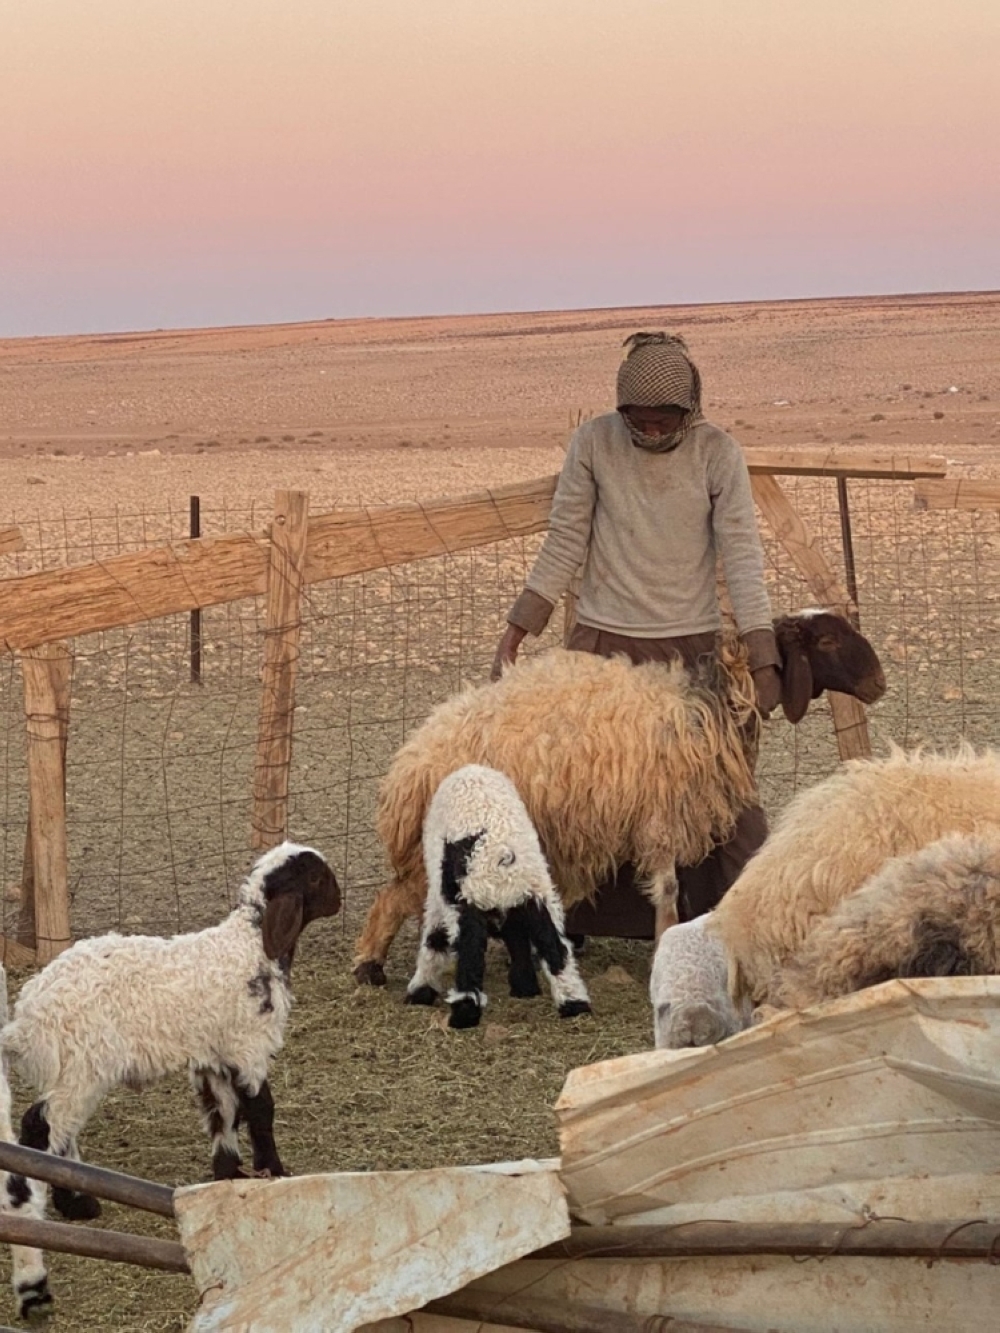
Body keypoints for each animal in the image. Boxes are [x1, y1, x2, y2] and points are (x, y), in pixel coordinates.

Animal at [1, 841, 339, 1247]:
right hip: (83, 1065)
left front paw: (228, 1175)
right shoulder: (249, 1048)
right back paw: (66, 1204)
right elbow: (261, 1110)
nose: (339, 900)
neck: (251, 948)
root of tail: (26, 1017)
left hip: (73, 1071)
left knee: (61, 1130)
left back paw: (81, 1201)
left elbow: (223, 1114)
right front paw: (274, 1171)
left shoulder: (213, 1058)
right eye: (317, 877)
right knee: (43, 1125)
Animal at [353, 610, 886, 986]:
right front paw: (663, 939)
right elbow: (668, 889)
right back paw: (370, 965)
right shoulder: (662, 815)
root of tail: (410, 764)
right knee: (396, 896)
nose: (878, 683)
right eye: (828, 640)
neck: (710, 704)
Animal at [405, 764, 592, 1029]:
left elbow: (434, 938)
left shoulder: (443, 895)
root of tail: (500, 857)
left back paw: (463, 1016)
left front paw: (420, 990)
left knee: (469, 956)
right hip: (537, 894)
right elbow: (519, 938)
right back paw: (574, 1005)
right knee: (555, 948)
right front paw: (525, 987)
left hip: (469, 903)